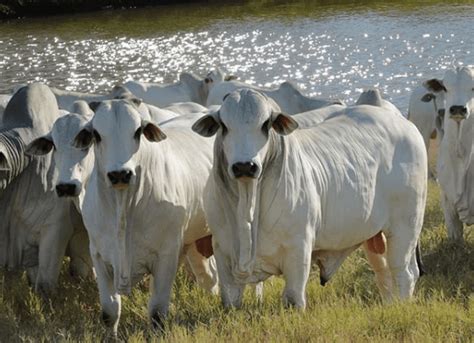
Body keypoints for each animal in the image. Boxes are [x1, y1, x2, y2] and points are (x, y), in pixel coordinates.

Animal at [71, 99, 216, 336]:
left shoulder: (166, 255)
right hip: (195, 241)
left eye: (138, 131)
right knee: (209, 276)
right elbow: (109, 311)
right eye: (97, 135)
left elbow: (157, 312)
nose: (120, 174)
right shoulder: (99, 255)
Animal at [191, 88, 428, 310]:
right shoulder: (223, 253)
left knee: (404, 271)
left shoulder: (299, 249)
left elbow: (293, 298)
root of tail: (405, 124)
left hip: (406, 225)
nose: (244, 166)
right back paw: (390, 304)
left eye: (266, 124)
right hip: (373, 234)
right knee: (383, 272)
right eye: (223, 125)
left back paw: (402, 305)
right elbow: (230, 299)